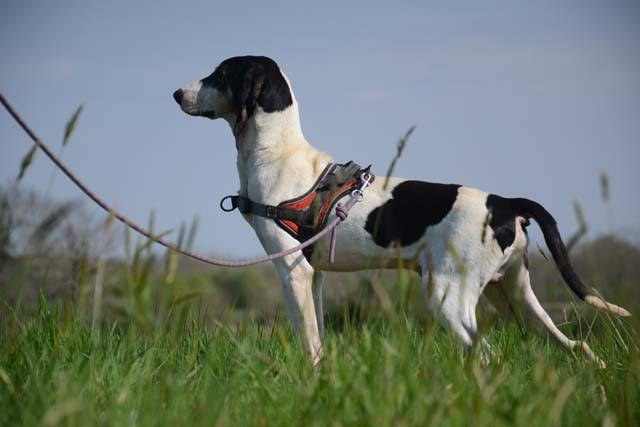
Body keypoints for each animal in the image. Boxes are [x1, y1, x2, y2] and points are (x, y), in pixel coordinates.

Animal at [175, 55, 632, 366]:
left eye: (220, 74)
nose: (176, 93)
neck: (277, 152)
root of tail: (505, 202)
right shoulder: (317, 276)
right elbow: (319, 334)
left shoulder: (294, 271)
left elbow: (309, 343)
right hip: (515, 297)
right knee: (576, 346)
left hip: (449, 297)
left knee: (486, 354)